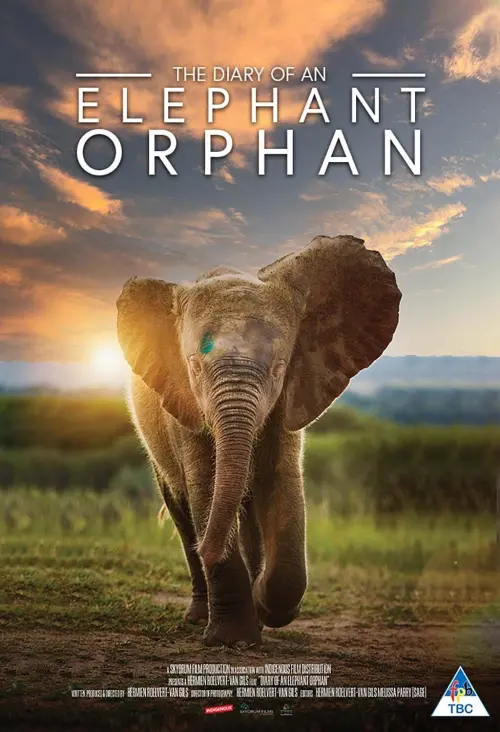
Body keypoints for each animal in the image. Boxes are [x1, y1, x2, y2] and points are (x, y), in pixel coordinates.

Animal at [116, 234, 401, 647]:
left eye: (279, 368)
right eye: (195, 366)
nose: (208, 549)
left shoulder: (291, 397)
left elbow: (280, 483)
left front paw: (268, 606)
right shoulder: (183, 405)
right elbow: (205, 488)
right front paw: (232, 639)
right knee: (182, 508)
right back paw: (199, 611)